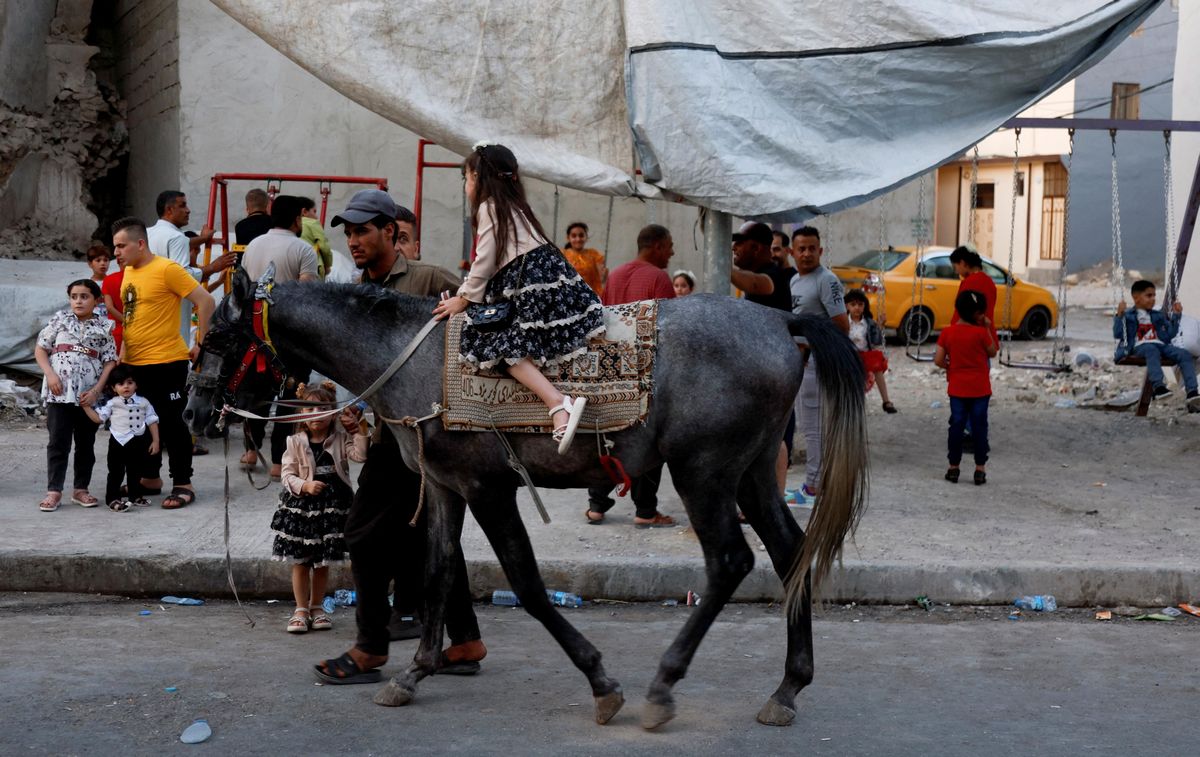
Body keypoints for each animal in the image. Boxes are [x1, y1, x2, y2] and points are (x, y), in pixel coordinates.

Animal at [194, 271, 873, 729]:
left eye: (222, 335)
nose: (195, 411)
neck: (407, 358)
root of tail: (778, 321)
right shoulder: (445, 489)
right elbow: (438, 573)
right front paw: (414, 672)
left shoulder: (489, 489)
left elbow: (525, 582)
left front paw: (601, 681)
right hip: (752, 472)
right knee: (790, 554)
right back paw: (788, 687)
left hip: (704, 473)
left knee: (731, 562)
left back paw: (664, 685)